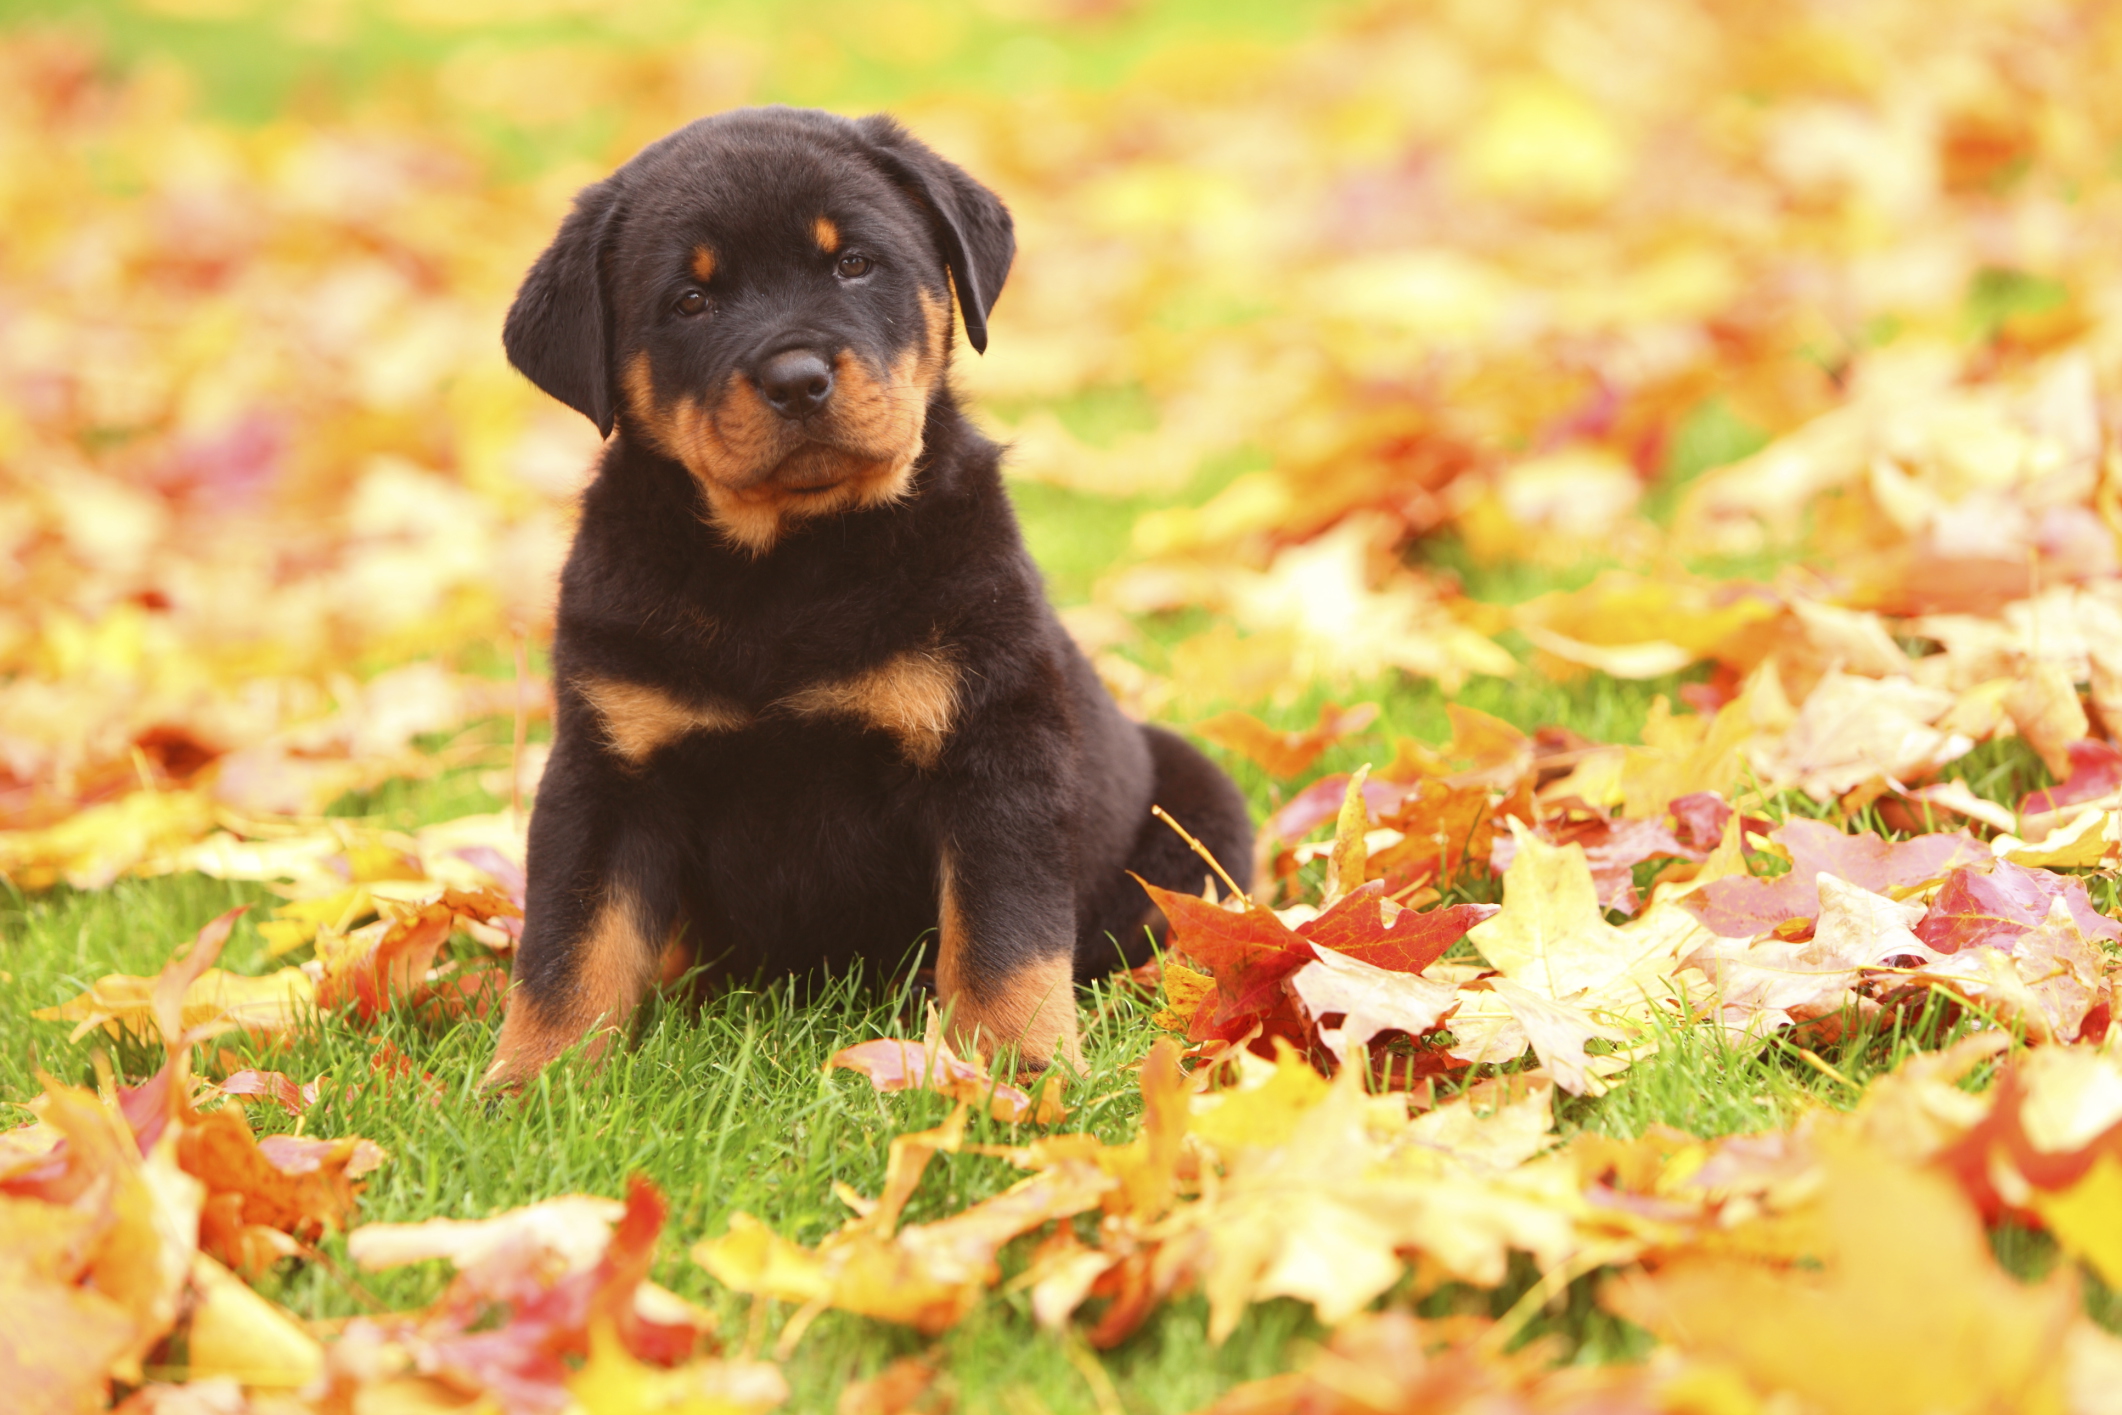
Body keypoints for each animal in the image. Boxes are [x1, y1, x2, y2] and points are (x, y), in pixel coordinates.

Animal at [488, 108, 1247, 1086]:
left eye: (853, 262)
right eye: (690, 301)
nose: (797, 378)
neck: (789, 566)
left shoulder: (991, 743)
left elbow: (1004, 936)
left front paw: (1014, 1071)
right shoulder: (608, 764)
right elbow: (569, 946)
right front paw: (530, 1083)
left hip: (1197, 804)